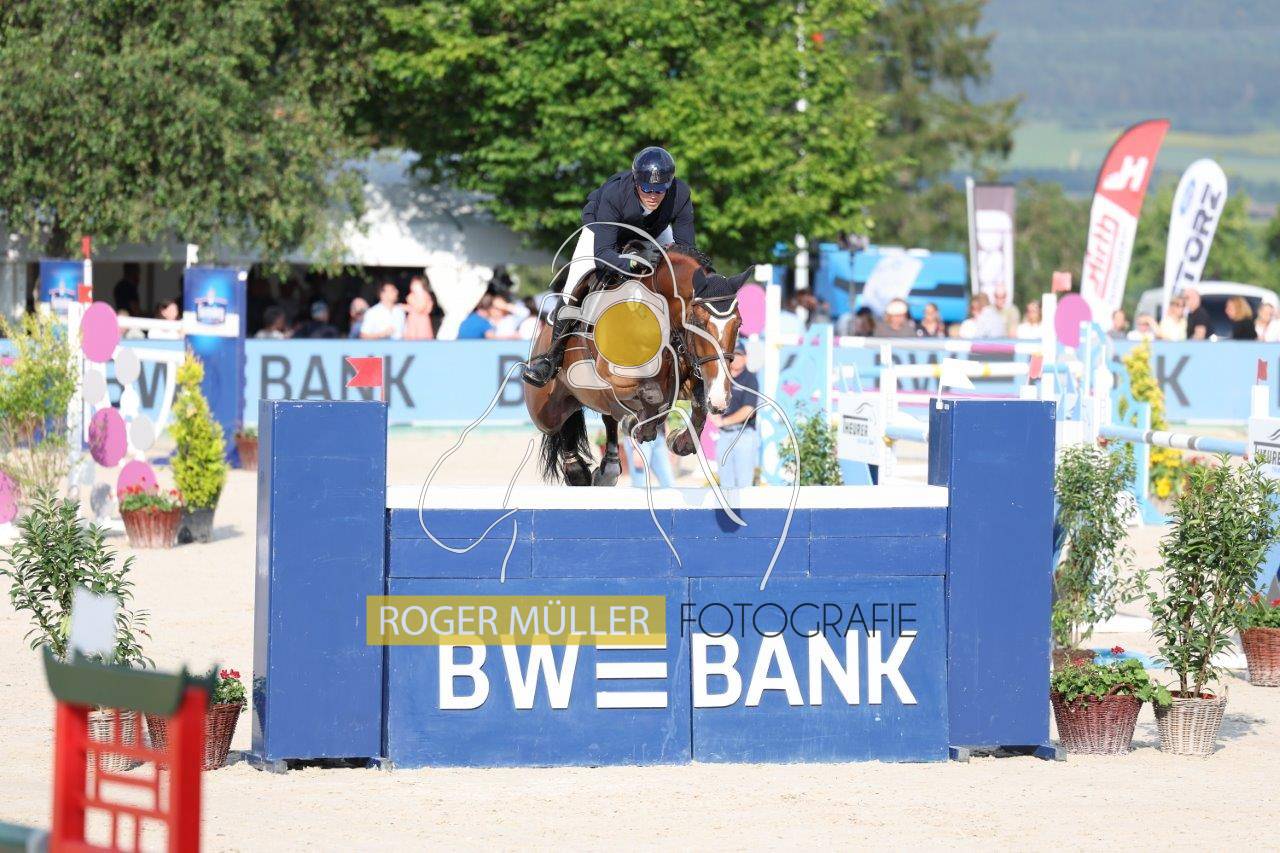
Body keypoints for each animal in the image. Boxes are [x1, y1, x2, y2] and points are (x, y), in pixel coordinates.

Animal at [524, 244, 752, 486]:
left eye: (739, 324)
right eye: (698, 323)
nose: (720, 399)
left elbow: (697, 403)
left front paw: (680, 441)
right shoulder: (613, 379)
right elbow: (653, 394)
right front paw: (641, 426)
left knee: (607, 418)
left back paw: (608, 467)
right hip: (545, 411)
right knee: (562, 425)